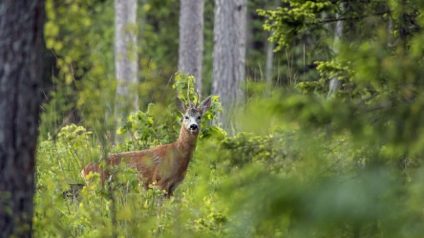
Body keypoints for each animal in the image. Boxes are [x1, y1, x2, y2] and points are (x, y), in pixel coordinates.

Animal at [80, 96, 212, 197]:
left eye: (199, 117)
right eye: (186, 117)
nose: (193, 126)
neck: (178, 155)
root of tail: (84, 170)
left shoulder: (172, 187)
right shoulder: (158, 182)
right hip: (98, 185)